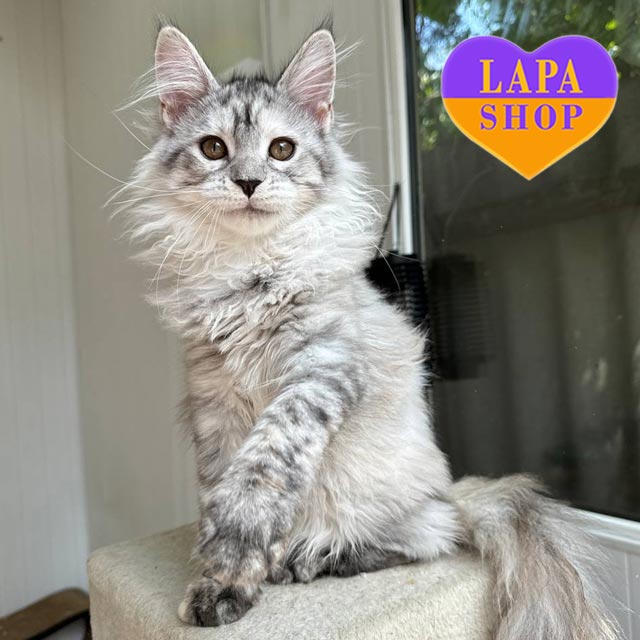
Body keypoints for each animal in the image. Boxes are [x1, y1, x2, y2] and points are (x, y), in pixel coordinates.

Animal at [119, 22, 619, 639]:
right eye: (214, 148)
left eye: (280, 149)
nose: (248, 182)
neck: (251, 272)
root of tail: (452, 489)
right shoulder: (213, 398)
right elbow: (220, 490)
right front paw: (225, 577)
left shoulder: (322, 367)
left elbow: (261, 471)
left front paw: (237, 553)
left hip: (383, 496)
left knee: (433, 535)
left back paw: (312, 558)